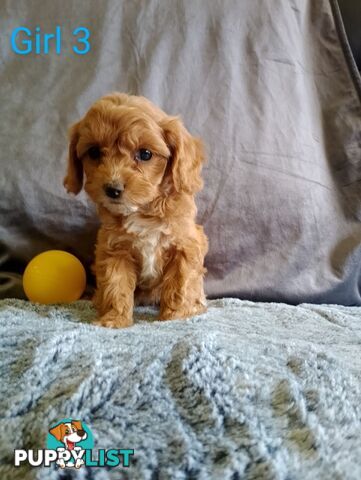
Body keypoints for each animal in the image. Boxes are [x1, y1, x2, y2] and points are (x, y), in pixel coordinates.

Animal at [63, 92, 207, 328]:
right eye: (93, 152)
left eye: (145, 154)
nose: (112, 189)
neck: (144, 210)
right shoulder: (114, 250)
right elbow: (116, 285)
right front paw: (114, 319)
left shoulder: (185, 245)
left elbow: (180, 283)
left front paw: (175, 316)